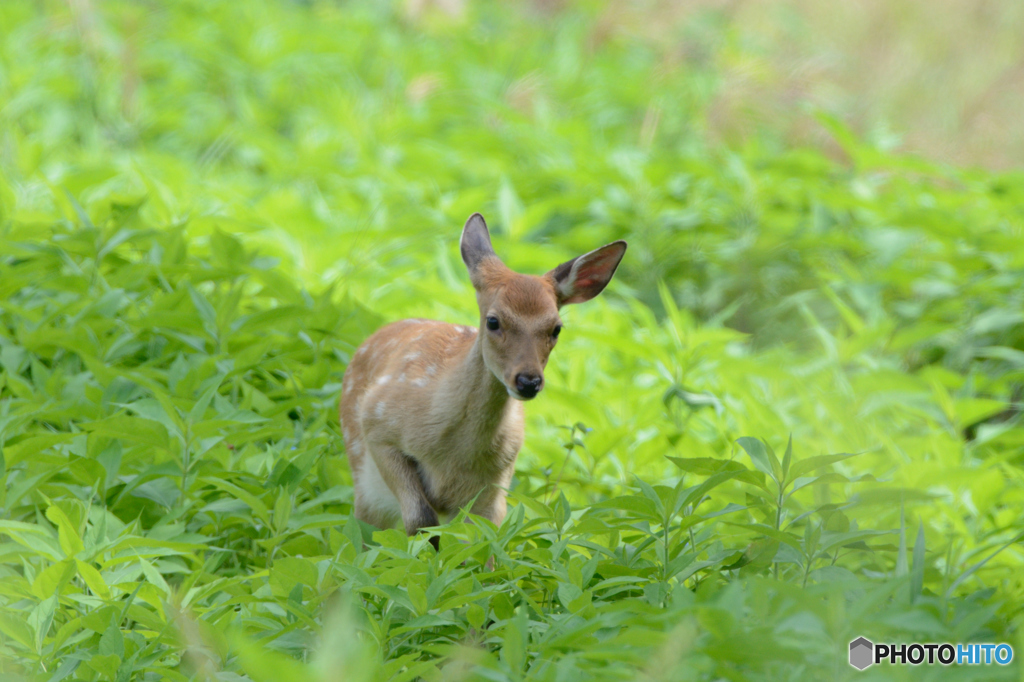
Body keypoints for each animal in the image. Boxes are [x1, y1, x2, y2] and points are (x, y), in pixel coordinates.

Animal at [339, 212, 622, 548]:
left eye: (556, 328)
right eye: (493, 321)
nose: (528, 381)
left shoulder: (498, 478)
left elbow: (484, 543)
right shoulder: (378, 427)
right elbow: (421, 523)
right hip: (364, 479)